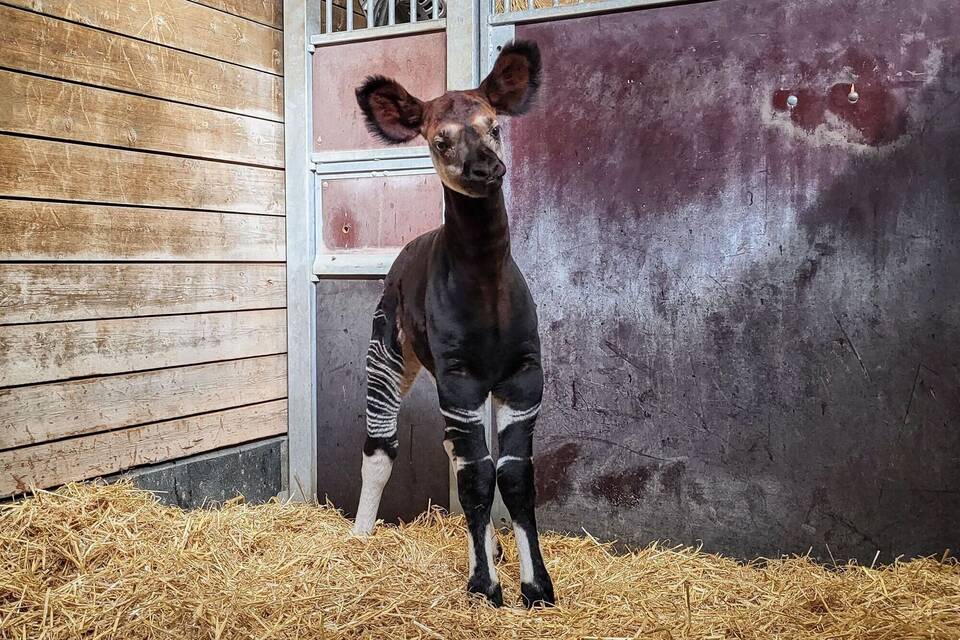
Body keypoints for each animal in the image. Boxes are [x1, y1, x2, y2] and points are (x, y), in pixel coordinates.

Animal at [350, 41, 556, 608]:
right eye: (439, 140)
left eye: (495, 126)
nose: (487, 169)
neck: (486, 286)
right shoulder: (461, 378)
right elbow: (479, 477)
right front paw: (486, 587)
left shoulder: (522, 378)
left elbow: (513, 475)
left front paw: (535, 586)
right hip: (388, 351)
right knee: (382, 448)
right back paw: (358, 538)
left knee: (456, 452)